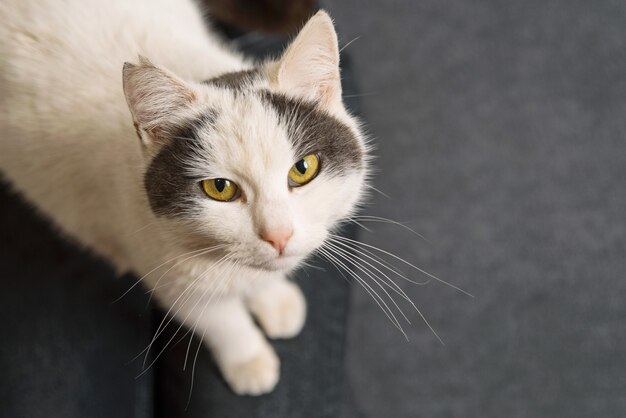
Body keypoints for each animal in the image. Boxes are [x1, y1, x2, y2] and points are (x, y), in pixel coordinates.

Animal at [0, 0, 366, 396]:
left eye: (302, 169)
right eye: (219, 188)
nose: (278, 235)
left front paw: (273, 297)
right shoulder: (164, 270)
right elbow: (219, 320)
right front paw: (248, 360)